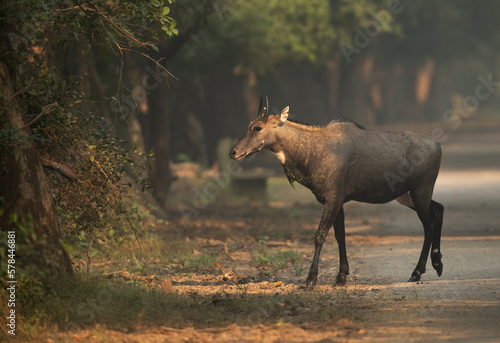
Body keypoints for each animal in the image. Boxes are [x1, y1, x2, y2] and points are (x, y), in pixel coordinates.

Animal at [229, 97, 444, 290]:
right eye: (250, 125)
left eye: (257, 127)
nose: (233, 152)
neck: (312, 152)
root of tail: (438, 145)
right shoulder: (338, 199)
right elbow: (340, 235)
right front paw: (341, 277)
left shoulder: (332, 198)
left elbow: (320, 235)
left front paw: (311, 280)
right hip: (406, 196)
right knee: (438, 210)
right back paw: (437, 263)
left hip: (420, 190)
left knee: (428, 225)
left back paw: (417, 272)